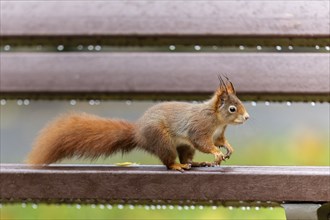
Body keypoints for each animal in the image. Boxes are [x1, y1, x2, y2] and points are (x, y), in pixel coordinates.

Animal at [27, 76, 249, 171]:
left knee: (186, 156)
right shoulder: (199, 128)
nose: (247, 117)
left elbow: (220, 140)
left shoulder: (218, 133)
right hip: (162, 140)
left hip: (183, 146)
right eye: (232, 108)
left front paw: (228, 148)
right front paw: (216, 153)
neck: (216, 119)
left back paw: (194, 163)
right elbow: (203, 143)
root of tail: (138, 132)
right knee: (168, 160)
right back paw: (177, 166)